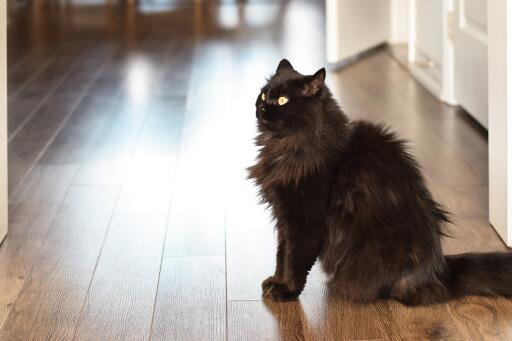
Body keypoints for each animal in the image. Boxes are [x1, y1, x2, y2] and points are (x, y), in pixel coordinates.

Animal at [250, 59, 512, 306]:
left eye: (282, 100)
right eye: (263, 94)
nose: (261, 106)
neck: (287, 146)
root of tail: (440, 269)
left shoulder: (304, 221)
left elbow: (294, 261)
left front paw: (285, 291)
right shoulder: (285, 219)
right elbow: (281, 255)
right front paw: (275, 282)